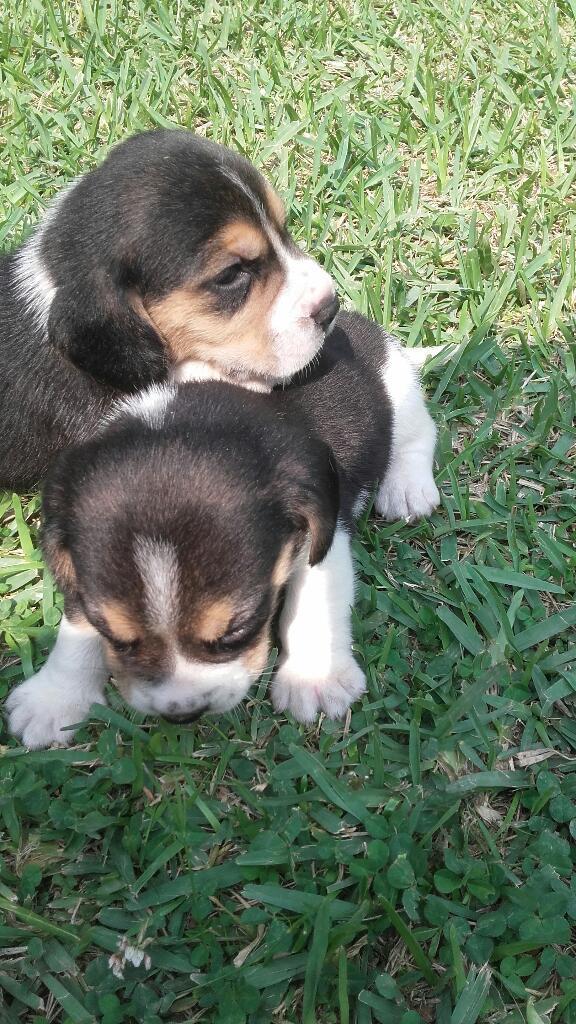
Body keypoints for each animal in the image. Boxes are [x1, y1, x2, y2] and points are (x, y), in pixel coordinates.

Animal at [4, 307, 436, 749]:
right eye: (118, 639)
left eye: (236, 632)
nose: (182, 713)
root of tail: (354, 323)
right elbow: (75, 629)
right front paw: (56, 697)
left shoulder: (323, 536)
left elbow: (313, 606)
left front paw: (314, 680)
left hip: (399, 392)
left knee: (419, 437)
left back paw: (407, 489)